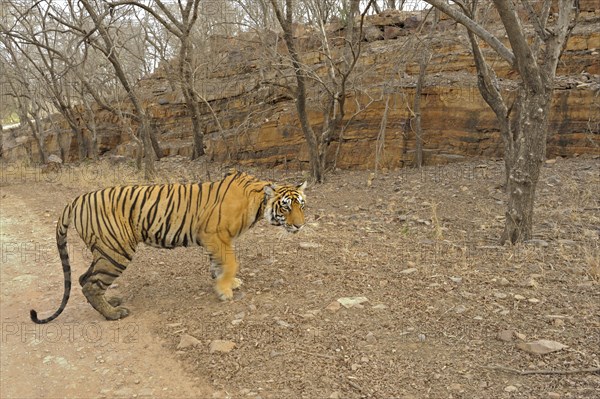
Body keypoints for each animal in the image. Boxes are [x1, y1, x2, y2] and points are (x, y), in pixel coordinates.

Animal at [29, 170, 308, 324]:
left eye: (301, 205)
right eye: (285, 207)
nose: (300, 225)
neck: (257, 202)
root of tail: (76, 200)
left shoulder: (215, 240)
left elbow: (218, 263)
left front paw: (224, 283)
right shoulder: (214, 234)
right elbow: (230, 262)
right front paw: (225, 291)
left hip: (103, 250)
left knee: (83, 278)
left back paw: (112, 301)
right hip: (116, 250)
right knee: (89, 283)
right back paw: (113, 314)